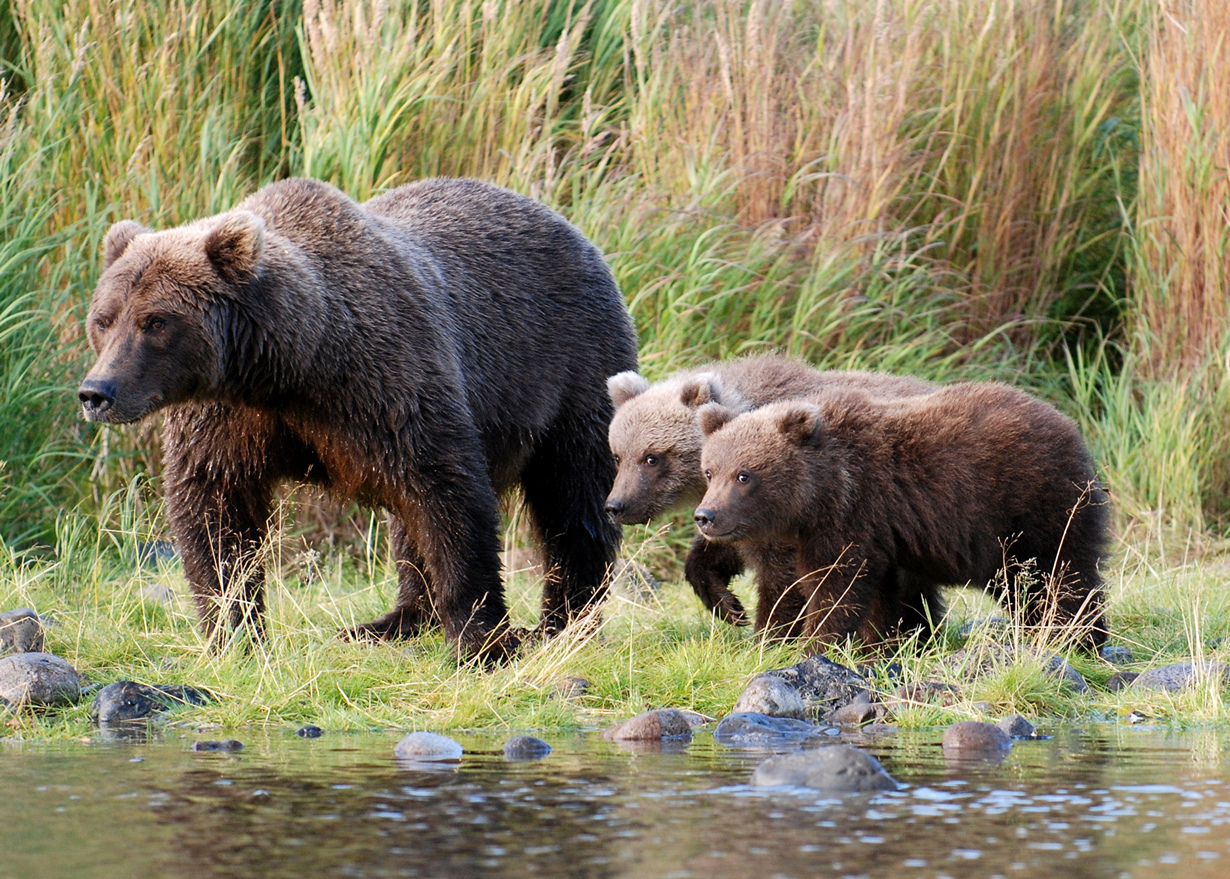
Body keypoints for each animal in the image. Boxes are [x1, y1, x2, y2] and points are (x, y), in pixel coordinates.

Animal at [79, 178, 634, 658]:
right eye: (104, 319)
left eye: (155, 321)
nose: (96, 393)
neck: (290, 367)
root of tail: (569, 227)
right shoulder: (227, 418)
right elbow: (216, 511)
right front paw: (234, 633)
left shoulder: (387, 384)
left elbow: (448, 496)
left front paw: (484, 643)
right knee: (408, 528)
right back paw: (391, 622)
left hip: (572, 363)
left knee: (574, 496)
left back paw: (564, 622)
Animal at [698, 386, 1111, 654]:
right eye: (709, 471)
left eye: (744, 475)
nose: (706, 516)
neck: (820, 492)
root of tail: (1071, 426)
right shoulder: (877, 534)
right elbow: (879, 595)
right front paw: (884, 644)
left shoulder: (853, 514)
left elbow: (834, 586)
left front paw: (812, 643)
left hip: (1034, 506)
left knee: (1060, 575)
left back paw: (1078, 638)